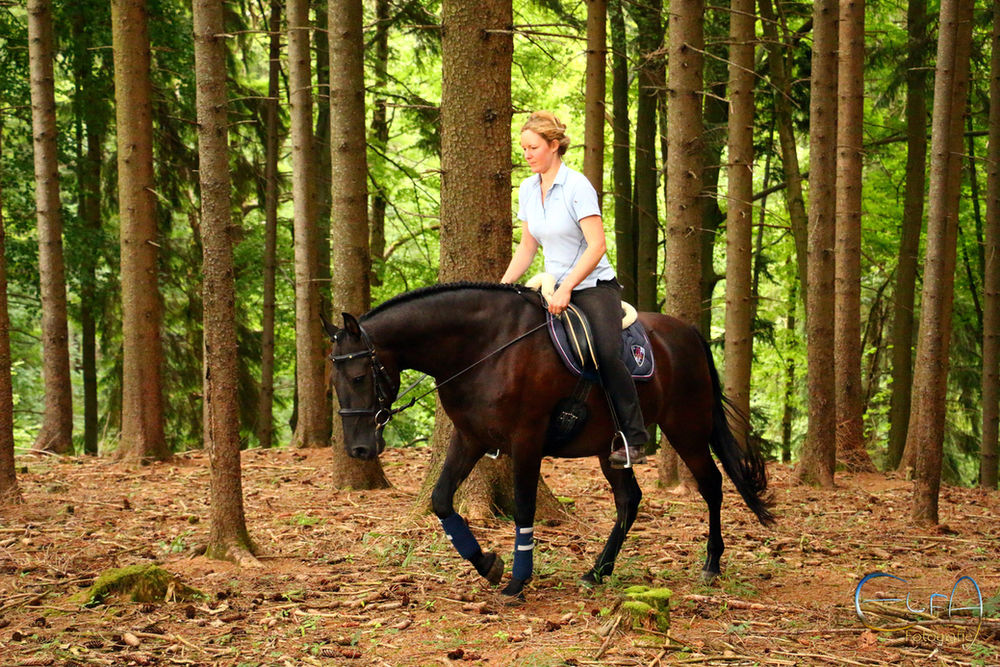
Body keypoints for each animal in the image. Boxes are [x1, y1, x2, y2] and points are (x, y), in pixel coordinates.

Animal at [323, 282, 774, 598]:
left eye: (359, 377)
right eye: (335, 382)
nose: (359, 449)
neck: (484, 348)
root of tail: (689, 331)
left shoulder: (526, 440)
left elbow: (524, 507)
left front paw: (517, 581)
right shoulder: (469, 438)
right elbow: (441, 499)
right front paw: (487, 564)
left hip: (687, 428)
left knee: (711, 484)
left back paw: (711, 563)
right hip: (609, 447)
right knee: (629, 500)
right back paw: (598, 572)